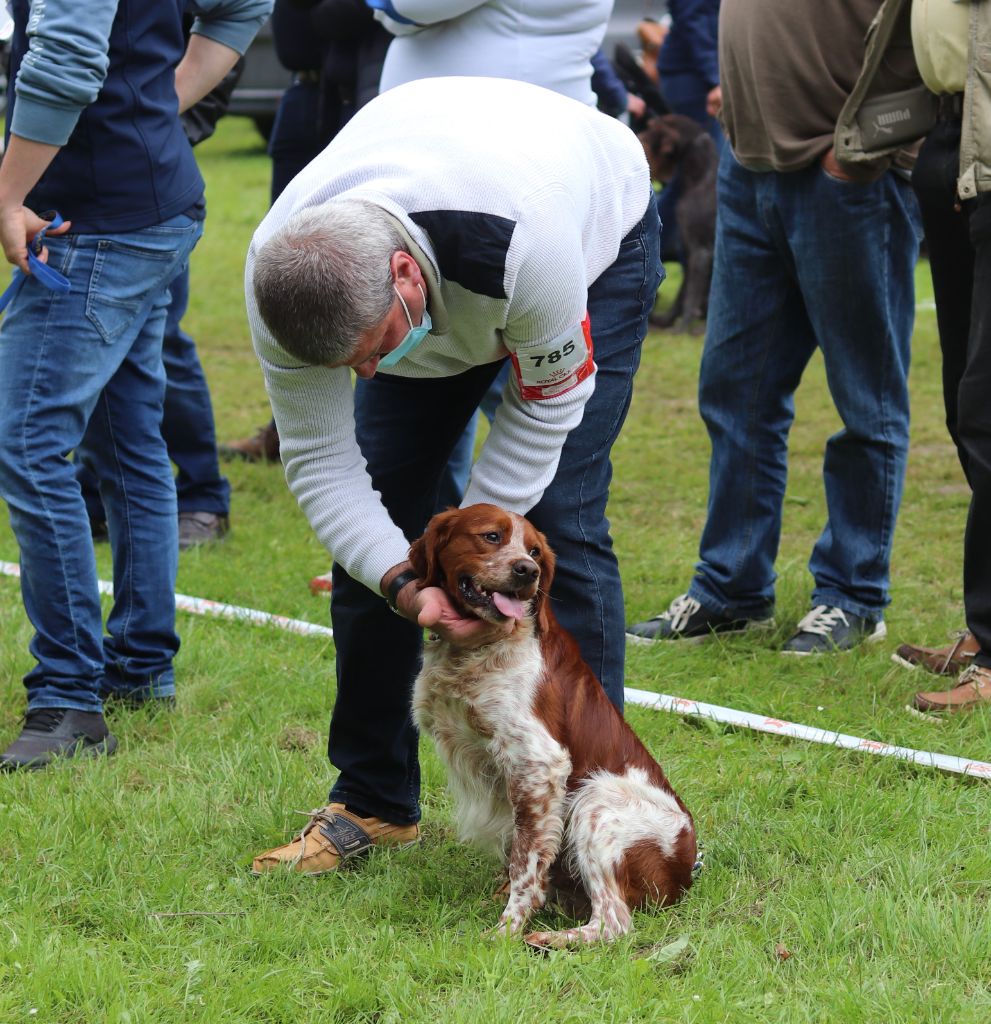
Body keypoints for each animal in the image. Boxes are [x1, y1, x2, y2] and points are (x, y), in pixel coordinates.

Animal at [638, 113, 716, 333]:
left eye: (645, 139)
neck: (699, 177)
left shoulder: (701, 250)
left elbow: (690, 294)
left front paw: (682, 329)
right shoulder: (689, 248)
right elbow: (684, 290)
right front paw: (670, 320)